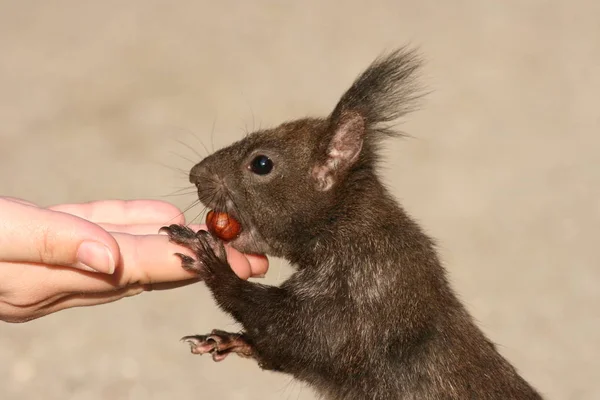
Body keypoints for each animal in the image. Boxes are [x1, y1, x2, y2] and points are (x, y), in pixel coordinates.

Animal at [161, 48, 544, 398]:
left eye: (262, 164)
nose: (195, 175)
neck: (344, 225)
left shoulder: (370, 295)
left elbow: (302, 337)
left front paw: (212, 262)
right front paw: (226, 339)